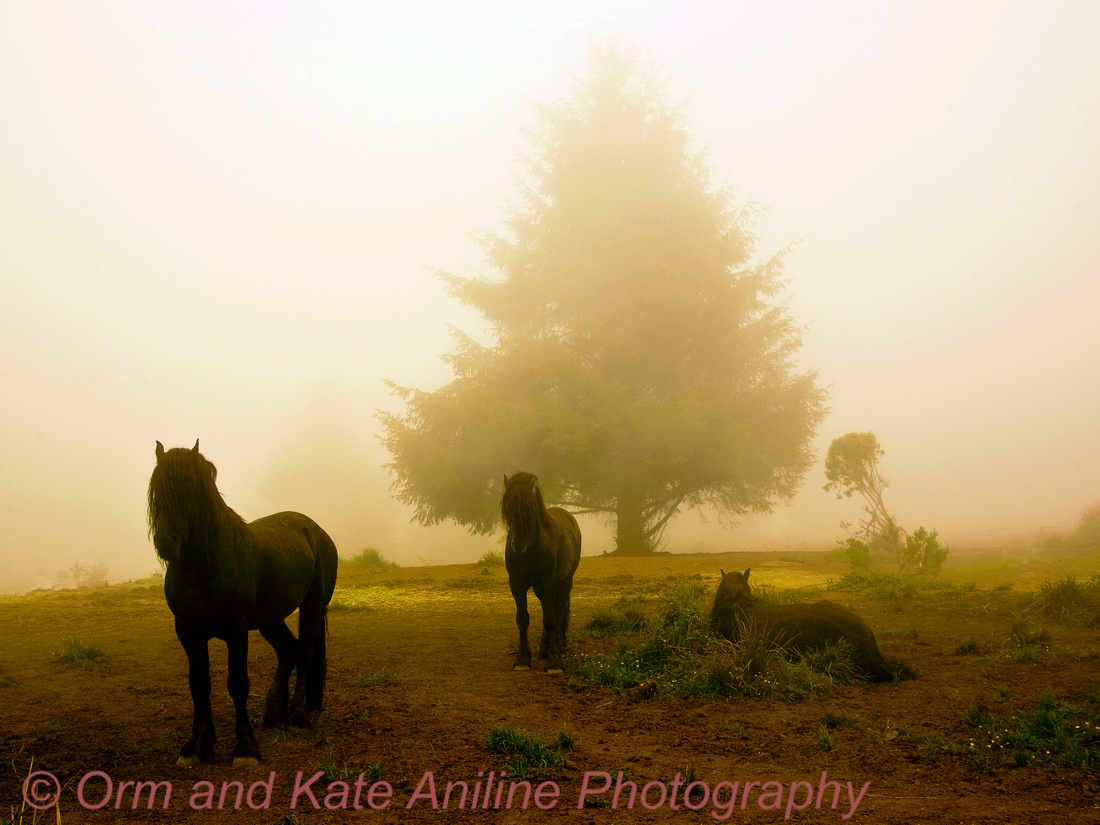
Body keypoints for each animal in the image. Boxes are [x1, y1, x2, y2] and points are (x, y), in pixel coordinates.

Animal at [146, 442, 336, 765]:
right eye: (157, 489)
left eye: (192, 489)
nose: (166, 542)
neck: (206, 565)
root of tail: (317, 531)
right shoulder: (187, 631)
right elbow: (198, 685)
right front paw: (197, 746)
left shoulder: (236, 630)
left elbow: (237, 685)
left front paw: (245, 749)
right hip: (271, 618)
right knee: (287, 648)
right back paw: (275, 714)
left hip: (310, 608)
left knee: (303, 653)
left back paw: (297, 718)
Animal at [501, 475, 580, 673]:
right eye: (507, 507)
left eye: (530, 507)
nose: (518, 545)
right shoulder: (517, 584)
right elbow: (522, 619)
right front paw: (522, 660)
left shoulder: (548, 583)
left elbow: (550, 619)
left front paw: (554, 661)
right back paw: (545, 648)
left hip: (566, 581)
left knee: (559, 609)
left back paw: (559, 646)